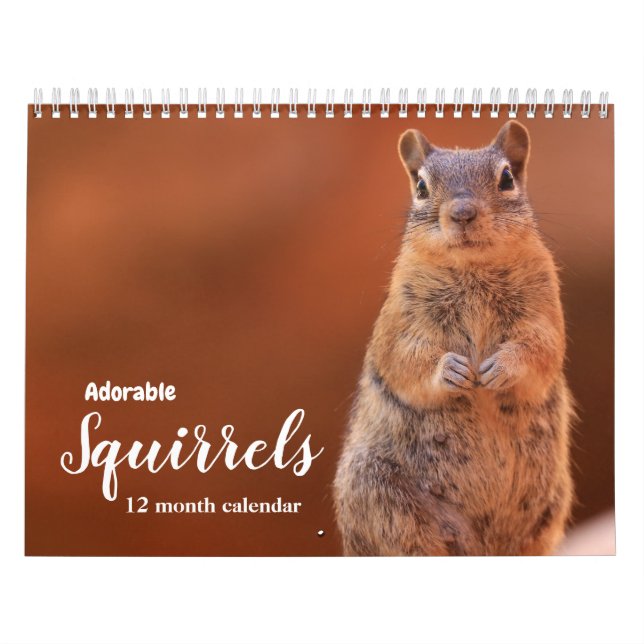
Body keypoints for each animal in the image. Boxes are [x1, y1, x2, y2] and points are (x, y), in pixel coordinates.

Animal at [334, 122, 574, 556]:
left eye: (507, 178)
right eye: (421, 186)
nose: (462, 213)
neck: (472, 268)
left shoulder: (544, 312)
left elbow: (540, 349)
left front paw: (502, 367)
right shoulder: (399, 320)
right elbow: (404, 358)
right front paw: (450, 370)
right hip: (377, 492)